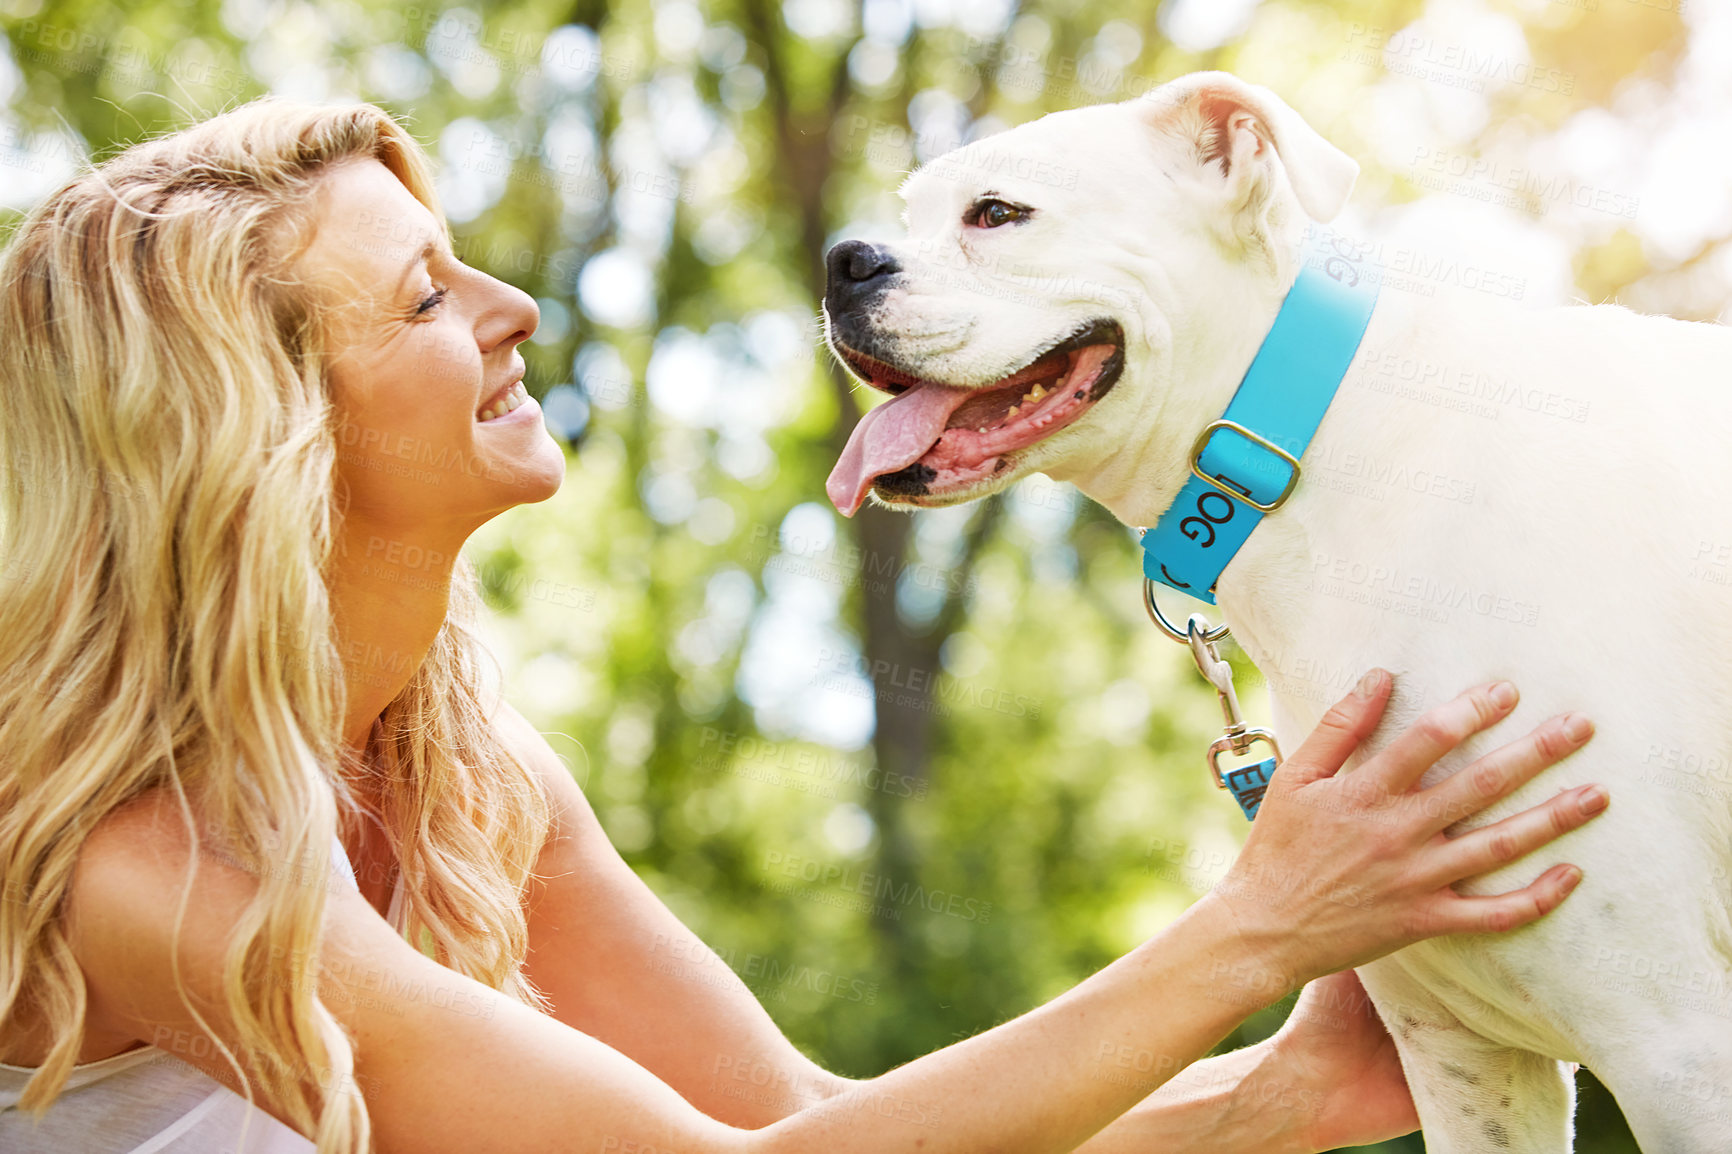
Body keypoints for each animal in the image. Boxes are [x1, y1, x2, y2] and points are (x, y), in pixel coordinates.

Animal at [817, 69, 1732, 1143]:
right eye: (910, 213)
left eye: (997, 213)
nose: (841, 260)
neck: (1313, 449)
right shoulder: (1467, 1062)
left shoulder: (1678, 1051)